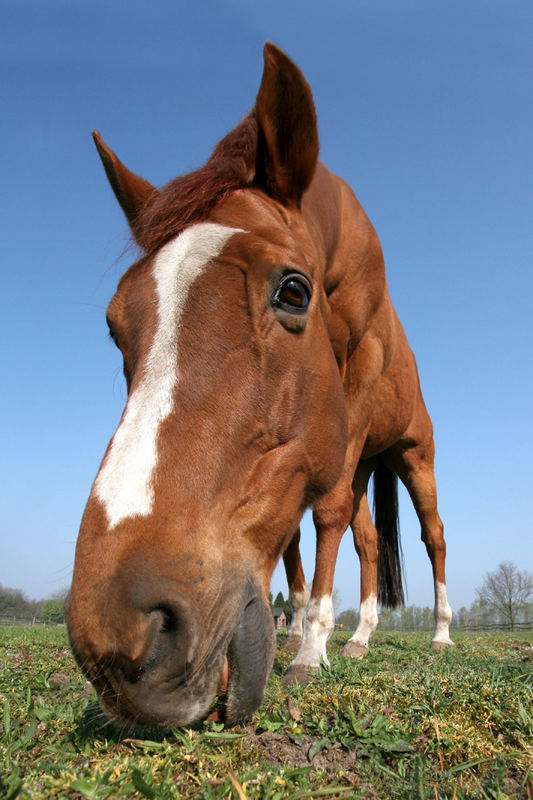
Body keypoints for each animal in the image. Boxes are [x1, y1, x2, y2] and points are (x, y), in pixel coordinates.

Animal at [64, 43, 450, 732]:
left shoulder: (352, 387)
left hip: (412, 455)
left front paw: (310, 649)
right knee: (369, 540)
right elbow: (301, 531)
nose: (118, 635)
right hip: (362, 458)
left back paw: (439, 635)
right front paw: (301, 628)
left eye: (293, 291)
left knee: (432, 537)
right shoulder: (324, 449)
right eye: (113, 325)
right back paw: (360, 636)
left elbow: (323, 515)